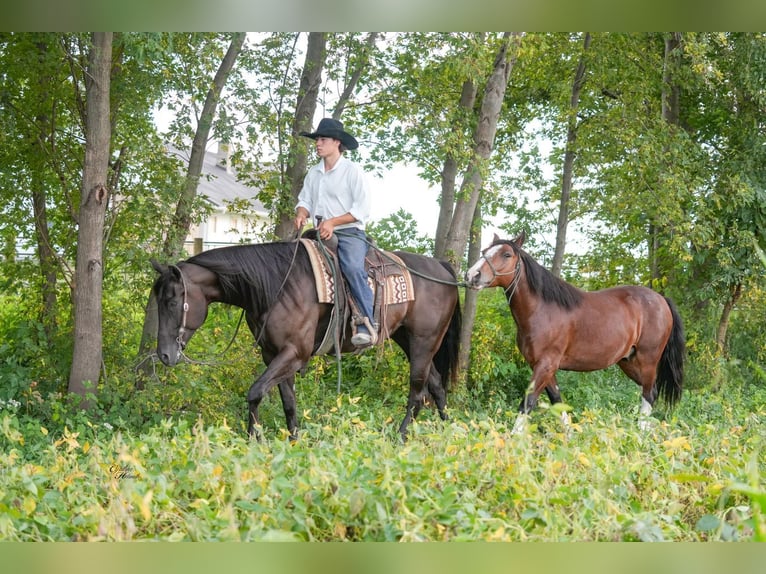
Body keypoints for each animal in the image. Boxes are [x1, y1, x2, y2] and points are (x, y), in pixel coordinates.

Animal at [151, 239, 462, 441]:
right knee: (436, 386)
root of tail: (442, 268)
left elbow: (255, 392)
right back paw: (449, 433)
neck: (276, 285)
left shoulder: (294, 353)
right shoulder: (273, 354)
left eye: (171, 302)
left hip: (423, 341)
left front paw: (253, 439)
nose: (164, 354)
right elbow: (288, 401)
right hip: (408, 339)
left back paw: (401, 436)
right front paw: (294, 441)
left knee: (417, 392)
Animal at [465, 231, 684, 430]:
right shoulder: (543, 366)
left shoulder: (546, 365)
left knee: (648, 394)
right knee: (651, 391)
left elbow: (528, 402)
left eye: (506, 254)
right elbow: (556, 400)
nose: (472, 275)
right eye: (484, 251)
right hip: (628, 362)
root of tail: (661, 299)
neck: (542, 310)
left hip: (647, 360)